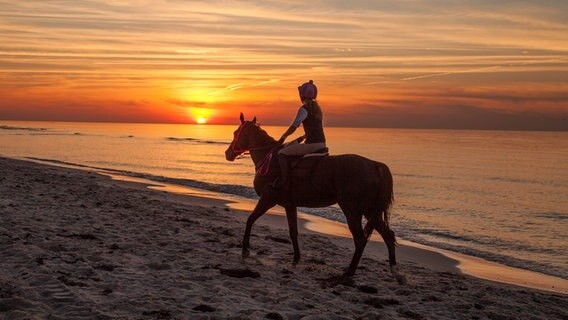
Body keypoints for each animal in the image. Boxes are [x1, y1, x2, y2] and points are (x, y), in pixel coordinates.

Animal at [226, 113, 404, 282]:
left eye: (236, 132)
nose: (228, 153)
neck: (270, 159)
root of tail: (375, 165)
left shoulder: (267, 199)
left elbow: (250, 220)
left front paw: (245, 249)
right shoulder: (290, 205)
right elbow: (293, 232)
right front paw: (296, 259)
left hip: (352, 211)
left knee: (360, 240)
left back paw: (349, 272)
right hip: (371, 212)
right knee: (388, 235)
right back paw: (395, 271)